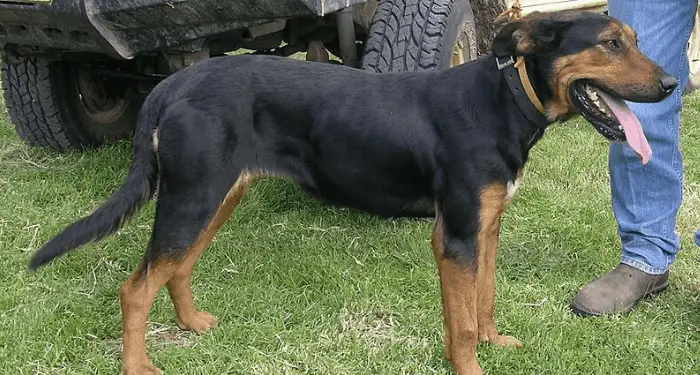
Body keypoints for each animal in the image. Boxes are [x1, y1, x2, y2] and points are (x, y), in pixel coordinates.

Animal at [28, 10, 680, 375]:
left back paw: (192, 326)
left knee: (177, 267)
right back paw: (139, 365)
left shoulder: (485, 227)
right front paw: (471, 366)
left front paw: (496, 342)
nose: (674, 83)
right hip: (193, 198)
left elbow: (485, 300)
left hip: (214, 196)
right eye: (612, 42)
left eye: (634, 40)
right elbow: (461, 322)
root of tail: (175, 82)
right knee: (136, 287)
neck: (504, 99)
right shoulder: (454, 237)